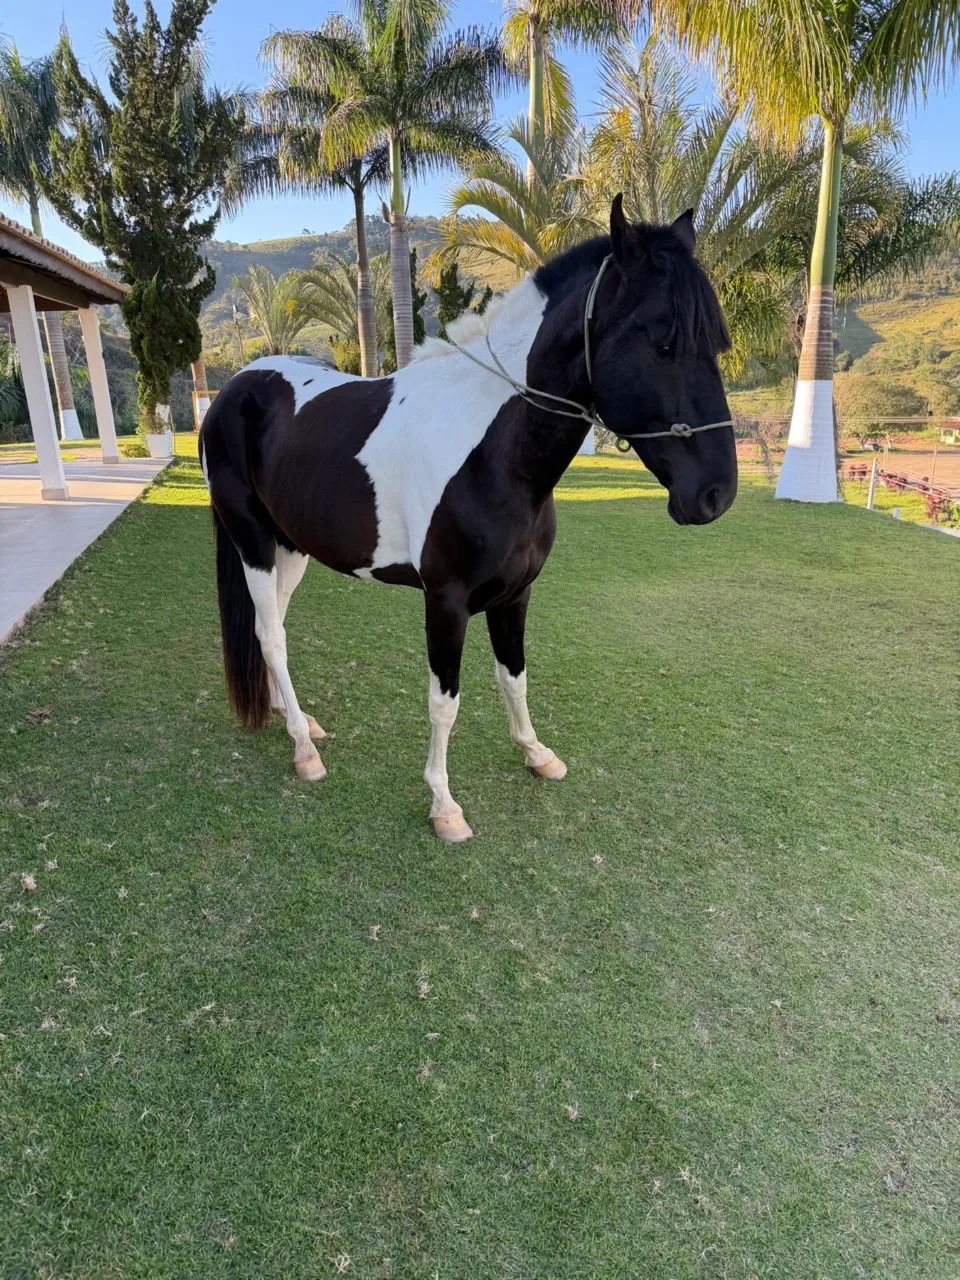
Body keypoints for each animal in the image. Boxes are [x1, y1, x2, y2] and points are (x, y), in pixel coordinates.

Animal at [199, 196, 737, 842]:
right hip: (252, 541)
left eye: (716, 343)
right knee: (271, 636)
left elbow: (515, 676)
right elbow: (444, 702)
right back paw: (304, 749)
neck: (494, 453)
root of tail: (235, 388)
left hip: (291, 548)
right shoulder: (446, 600)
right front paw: (443, 804)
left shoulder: (515, 595)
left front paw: (536, 754)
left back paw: (291, 717)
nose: (716, 494)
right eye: (663, 342)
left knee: (270, 624)